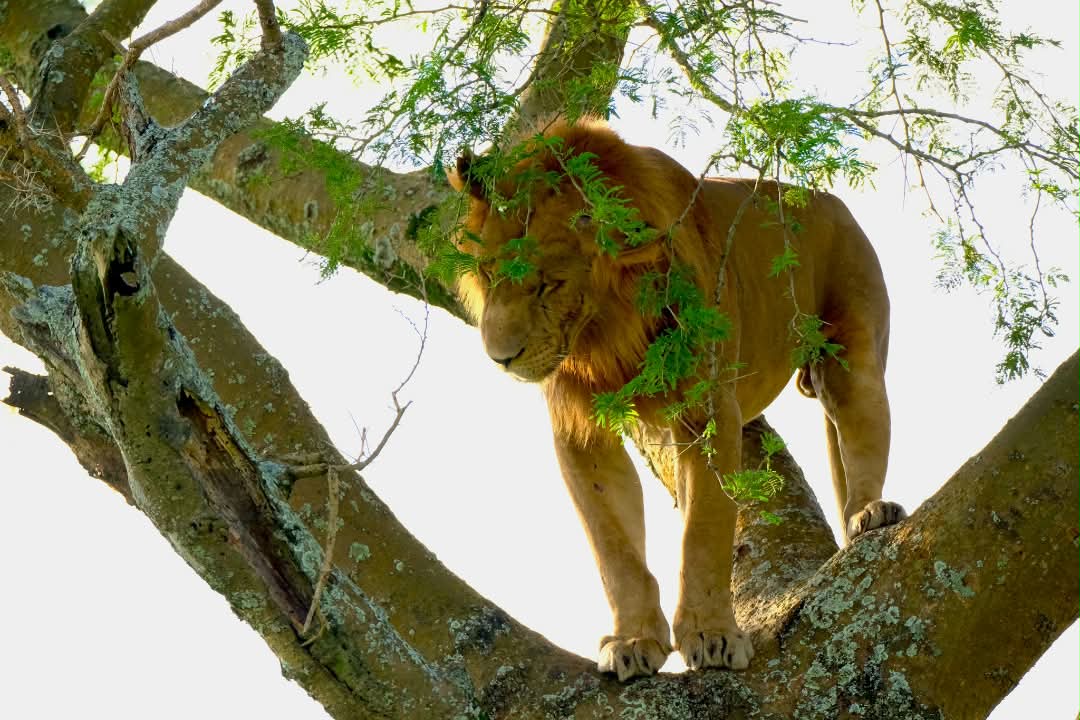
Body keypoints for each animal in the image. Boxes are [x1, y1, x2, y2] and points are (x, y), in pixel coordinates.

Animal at [448, 118, 906, 681]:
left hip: (851, 349)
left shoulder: (707, 410)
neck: (605, 331)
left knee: (862, 431)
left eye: (547, 285)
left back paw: (870, 511)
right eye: (491, 274)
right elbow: (614, 547)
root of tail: (824, 197)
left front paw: (711, 635)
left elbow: (703, 531)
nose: (500, 358)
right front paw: (632, 639)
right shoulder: (581, 430)